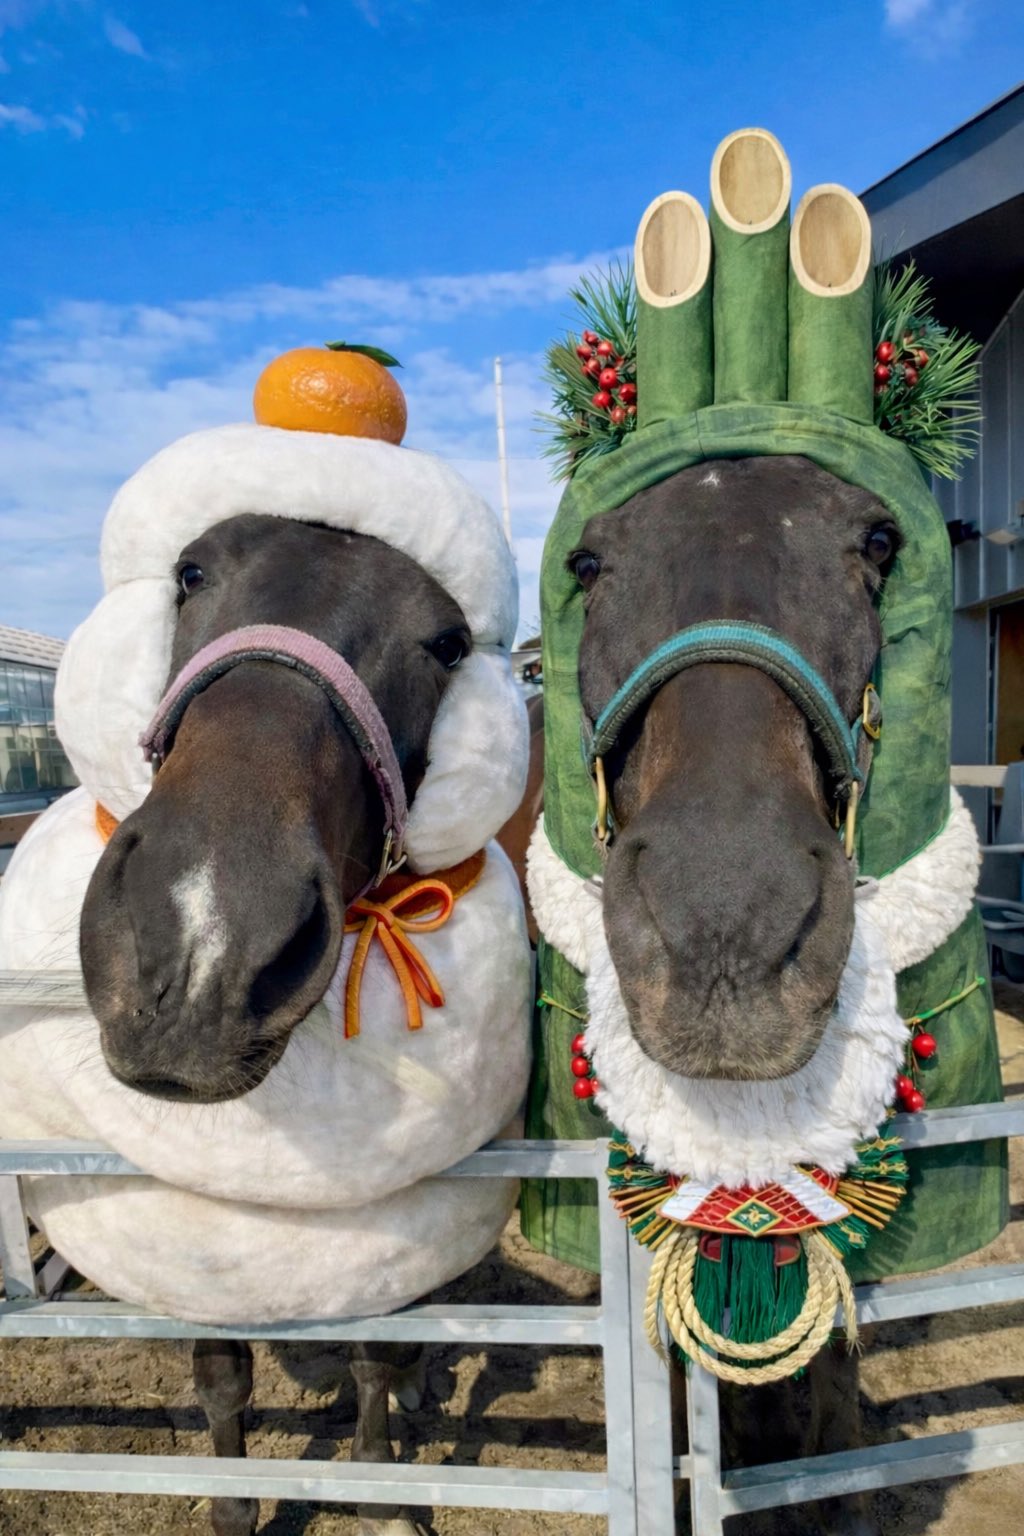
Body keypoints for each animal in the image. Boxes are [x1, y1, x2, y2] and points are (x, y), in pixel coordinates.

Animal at [0, 424, 533, 1536]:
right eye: (192, 573)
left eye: (447, 642)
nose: (201, 941)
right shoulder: (198, 1224)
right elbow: (221, 1375)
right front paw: (236, 1503)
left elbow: (374, 1347)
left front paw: (379, 1484)